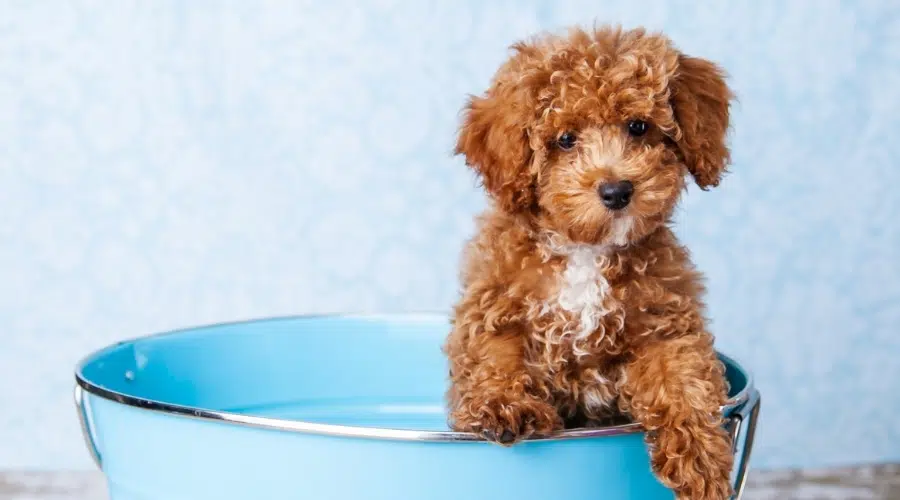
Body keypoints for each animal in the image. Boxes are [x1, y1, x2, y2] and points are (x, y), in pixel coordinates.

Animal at [444, 25, 740, 498]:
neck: (586, 250)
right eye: (565, 139)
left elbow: (682, 377)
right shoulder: (495, 300)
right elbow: (493, 351)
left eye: (638, 127)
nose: (616, 190)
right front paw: (504, 403)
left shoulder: (663, 321)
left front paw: (701, 457)